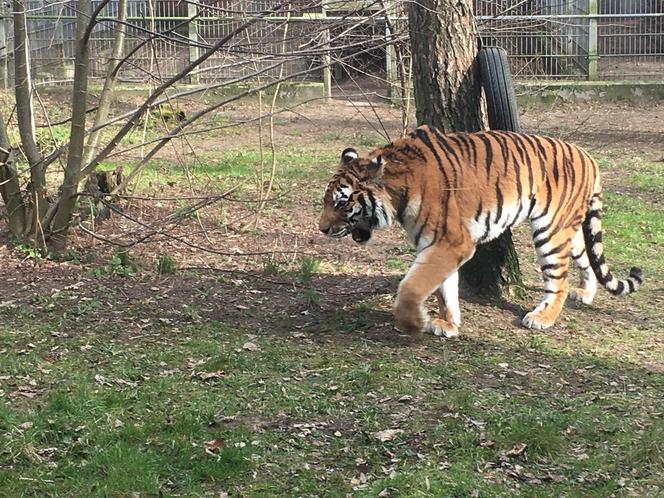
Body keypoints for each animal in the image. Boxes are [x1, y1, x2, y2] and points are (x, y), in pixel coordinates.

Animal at [318, 123, 644, 338]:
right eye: (326, 201)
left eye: (342, 202)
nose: (322, 229)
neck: (399, 189)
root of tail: (588, 155)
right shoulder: (436, 244)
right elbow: (444, 288)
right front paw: (448, 324)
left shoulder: (451, 242)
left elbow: (412, 287)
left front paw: (415, 324)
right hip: (569, 230)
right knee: (587, 259)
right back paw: (585, 294)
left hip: (550, 231)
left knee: (558, 280)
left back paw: (542, 317)